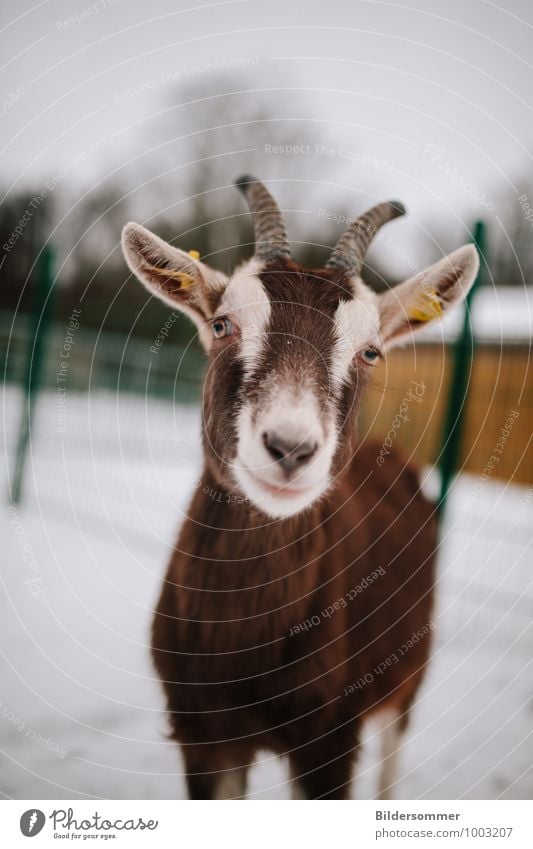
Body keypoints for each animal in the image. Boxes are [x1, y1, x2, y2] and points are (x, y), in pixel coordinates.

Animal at [120, 176, 478, 800]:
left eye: (371, 351)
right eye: (222, 324)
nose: (289, 449)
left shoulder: (330, 739)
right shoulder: (204, 736)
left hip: (407, 672)